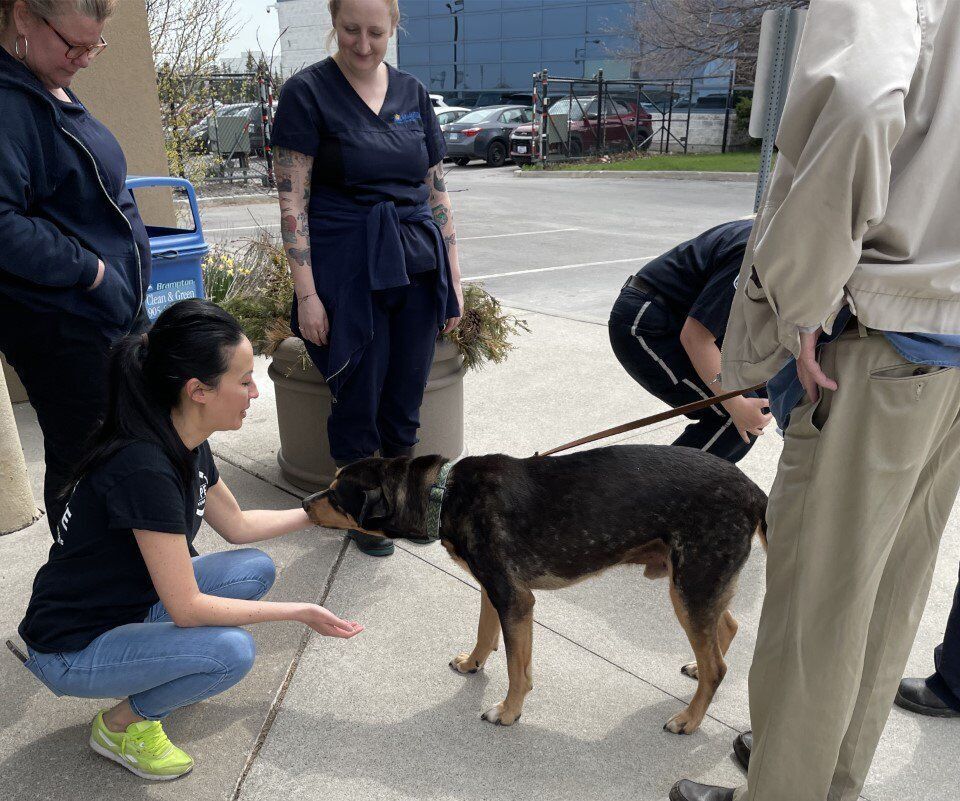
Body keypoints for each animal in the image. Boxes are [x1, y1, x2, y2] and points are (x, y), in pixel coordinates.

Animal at [304, 444, 768, 732]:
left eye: (336, 496)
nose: (306, 504)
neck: (443, 492)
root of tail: (755, 492)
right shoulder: (493, 590)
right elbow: (485, 633)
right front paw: (473, 663)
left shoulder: (516, 600)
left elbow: (516, 668)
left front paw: (509, 713)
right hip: (694, 584)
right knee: (726, 630)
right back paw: (698, 673)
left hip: (692, 585)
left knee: (719, 666)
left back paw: (689, 719)